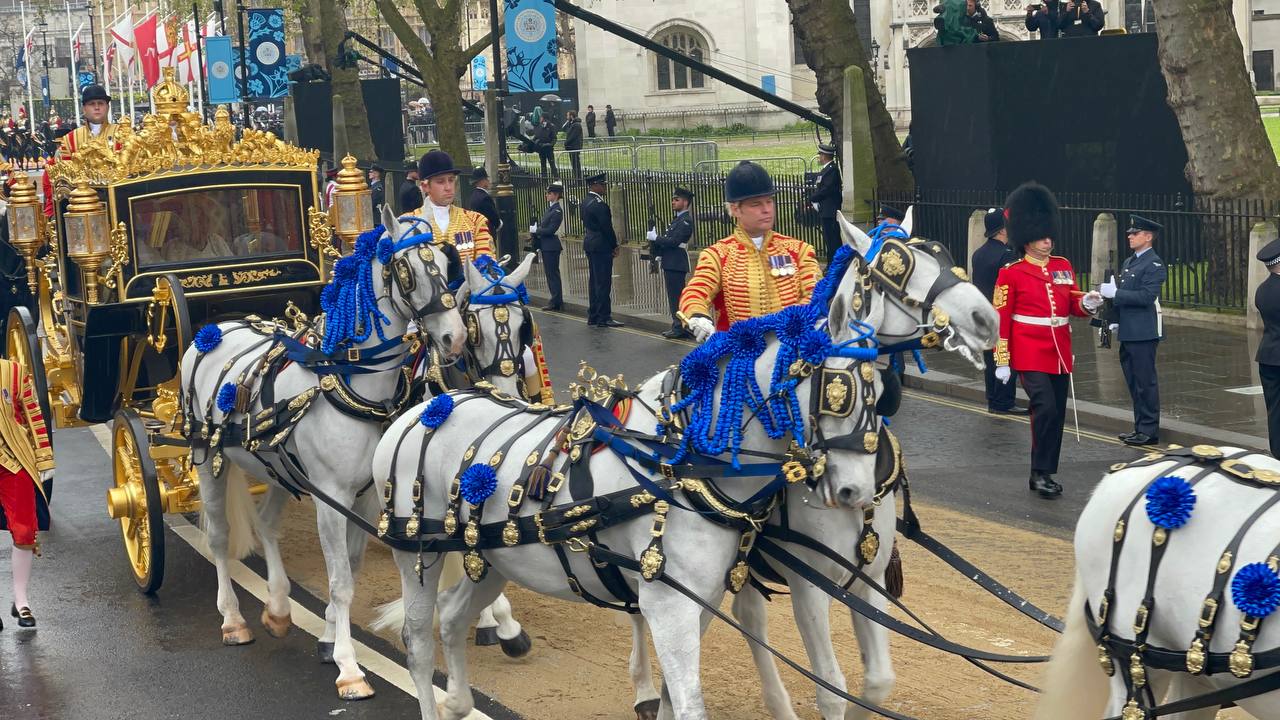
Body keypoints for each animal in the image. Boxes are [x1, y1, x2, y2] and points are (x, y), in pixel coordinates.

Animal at [183, 204, 468, 696]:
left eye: (448, 265)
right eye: (407, 270)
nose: (455, 337)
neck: (350, 383)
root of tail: (214, 326)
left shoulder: (364, 496)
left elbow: (351, 566)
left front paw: (328, 637)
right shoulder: (331, 496)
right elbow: (340, 581)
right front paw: (348, 666)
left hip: (278, 468)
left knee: (266, 523)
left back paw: (278, 607)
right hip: (208, 460)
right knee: (218, 536)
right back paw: (233, 619)